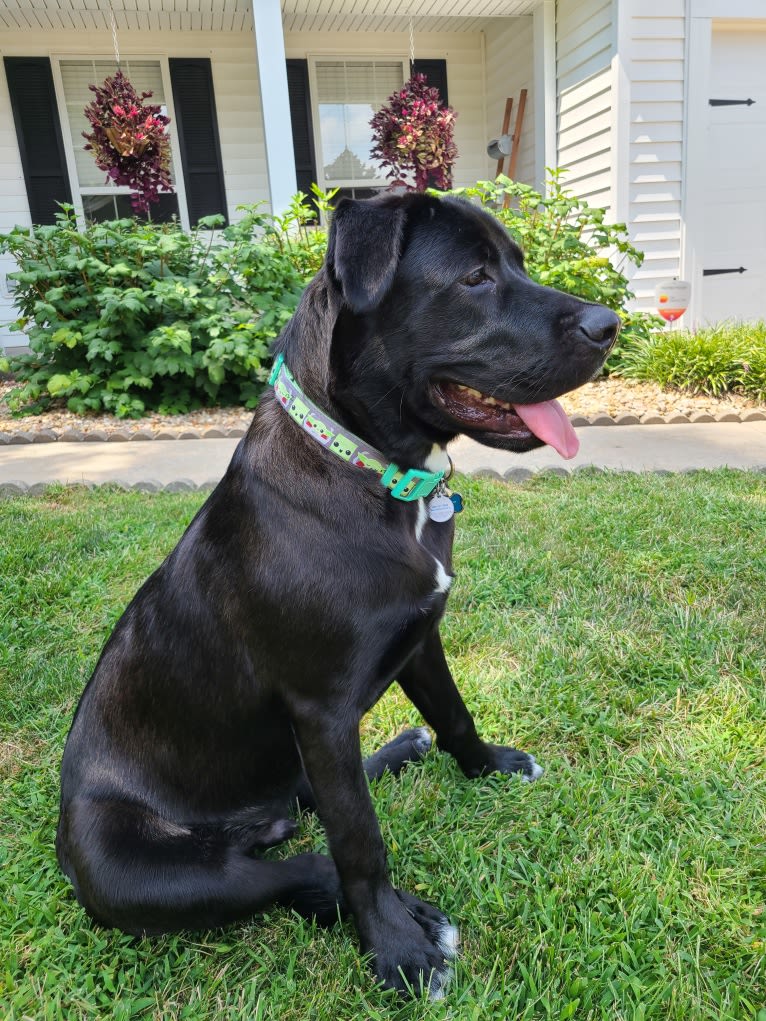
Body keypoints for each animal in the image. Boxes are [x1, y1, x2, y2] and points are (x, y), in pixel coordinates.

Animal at [55, 191, 616, 996]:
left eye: (516, 263)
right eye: (474, 277)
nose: (611, 325)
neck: (370, 470)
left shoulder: (421, 639)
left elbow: (454, 714)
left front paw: (486, 766)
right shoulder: (320, 710)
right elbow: (359, 839)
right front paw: (397, 947)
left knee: (311, 804)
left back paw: (399, 750)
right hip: (140, 870)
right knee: (298, 864)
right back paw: (409, 914)